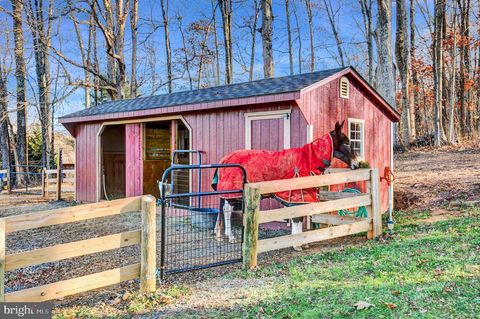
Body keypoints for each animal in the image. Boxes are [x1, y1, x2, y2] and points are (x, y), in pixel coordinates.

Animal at [212, 121, 358, 246]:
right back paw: (230, 236)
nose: (357, 164)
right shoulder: (297, 196)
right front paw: (298, 244)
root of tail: (225, 159)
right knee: (227, 210)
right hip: (233, 192)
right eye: (346, 143)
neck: (308, 159)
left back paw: (221, 235)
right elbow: (297, 217)